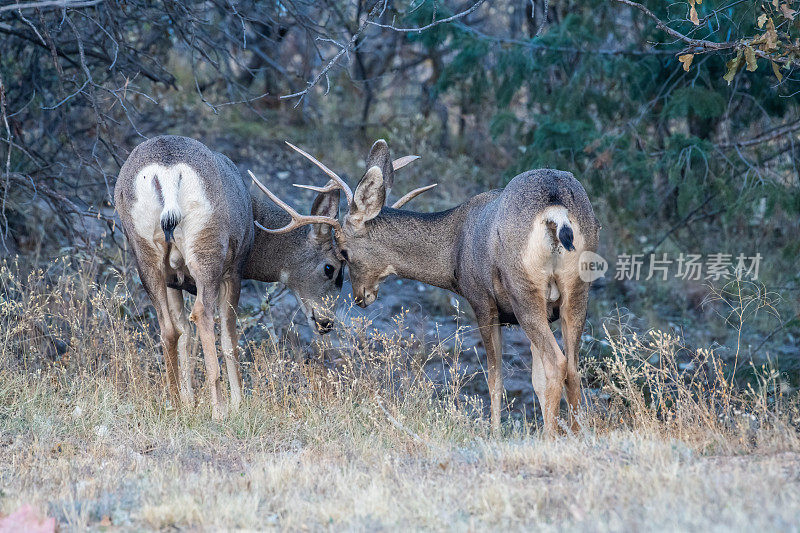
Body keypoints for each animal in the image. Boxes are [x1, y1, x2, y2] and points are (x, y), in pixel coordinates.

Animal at [260, 140, 600, 432]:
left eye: (342, 252)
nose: (360, 298)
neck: (454, 251)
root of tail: (555, 209)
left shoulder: (482, 302)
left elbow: (496, 379)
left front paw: (494, 433)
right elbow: (535, 381)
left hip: (524, 290)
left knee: (557, 363)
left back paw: (551, 437)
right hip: (577, 290)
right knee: (572, 367)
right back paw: (577, 434)